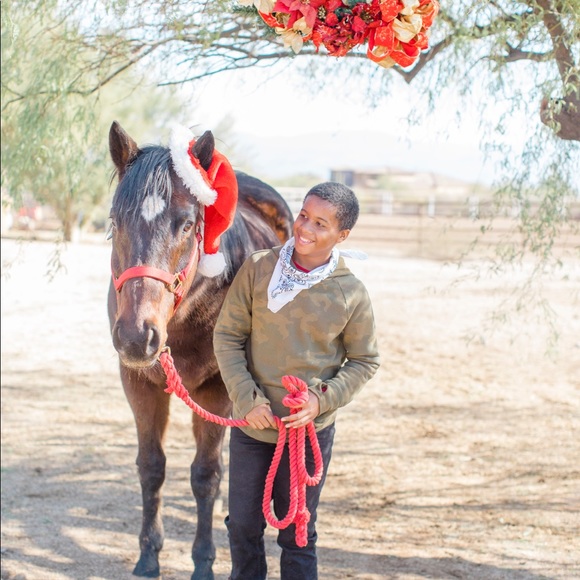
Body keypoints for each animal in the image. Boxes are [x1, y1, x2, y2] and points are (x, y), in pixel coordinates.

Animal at [107, 121, 294, 579]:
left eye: (188, 225)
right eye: (115, 221)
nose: (137, 336)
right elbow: (151, 467)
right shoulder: (137, 382)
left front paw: (204, 562)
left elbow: (206, 476)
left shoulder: (216, 388)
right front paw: (148, 556)